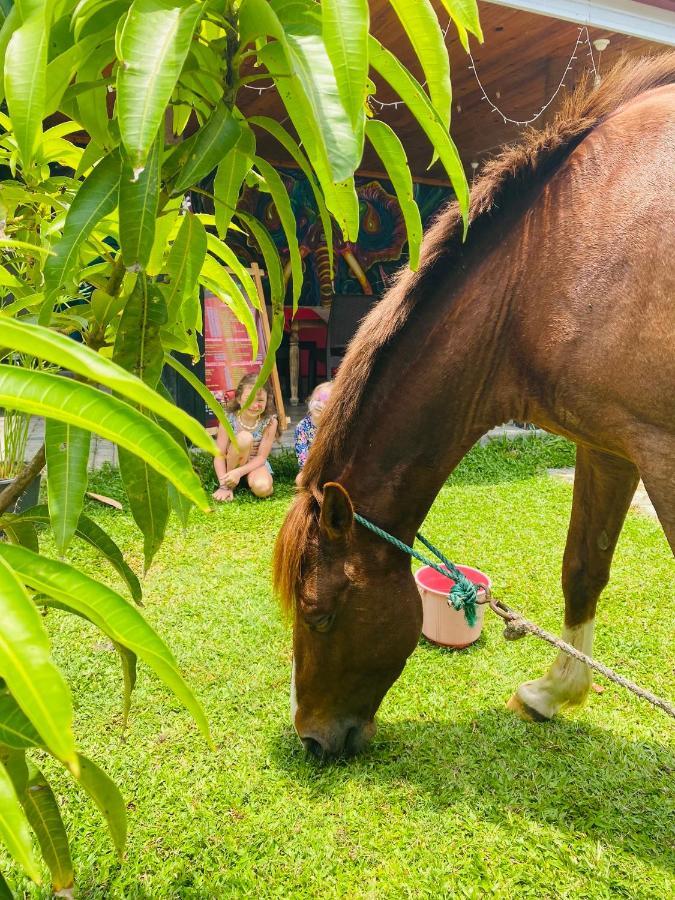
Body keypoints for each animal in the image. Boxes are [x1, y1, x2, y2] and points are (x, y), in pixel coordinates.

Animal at [274, 54, 675, 760]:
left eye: (319, 613)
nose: (313, 741)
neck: (549, 267)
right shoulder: (608, 443)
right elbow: (583, 567)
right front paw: (552, 693)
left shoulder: (662, 451)